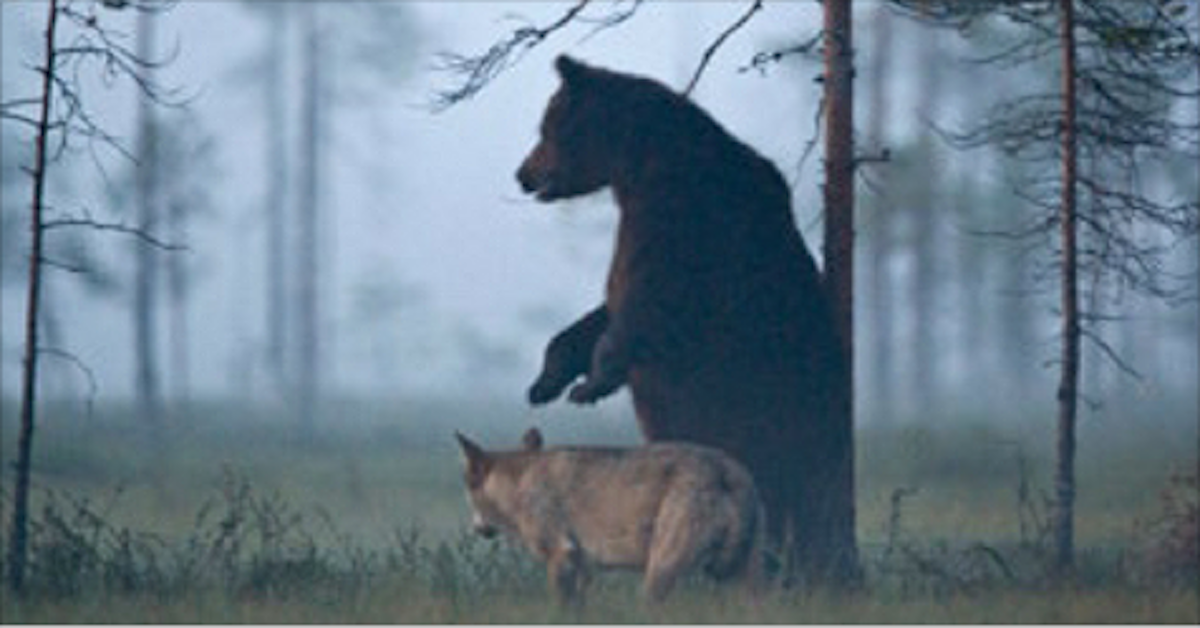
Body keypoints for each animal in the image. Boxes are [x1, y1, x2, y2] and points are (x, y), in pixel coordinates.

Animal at [520, 56, 859, 588]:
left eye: (547, 126)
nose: (524, 174)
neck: (640, 164)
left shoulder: (683, 223)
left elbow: (646, 304)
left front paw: (590, 383)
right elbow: (603, 310)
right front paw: (547, 380)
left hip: (769, 422)